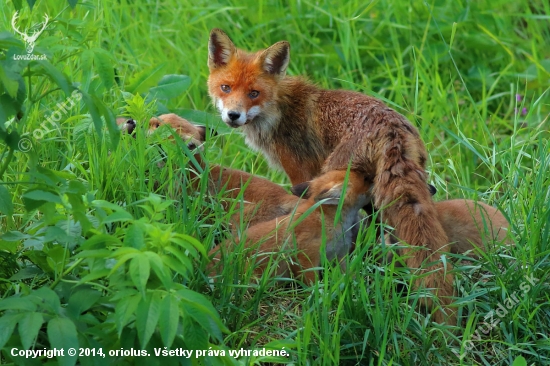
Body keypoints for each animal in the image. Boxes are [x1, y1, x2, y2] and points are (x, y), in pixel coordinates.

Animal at [209, 169, 374, 284]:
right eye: (365, 179)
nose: (374, 176)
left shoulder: (340, 256)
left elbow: (349, 277)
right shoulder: (305, 256)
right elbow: (312, 285)